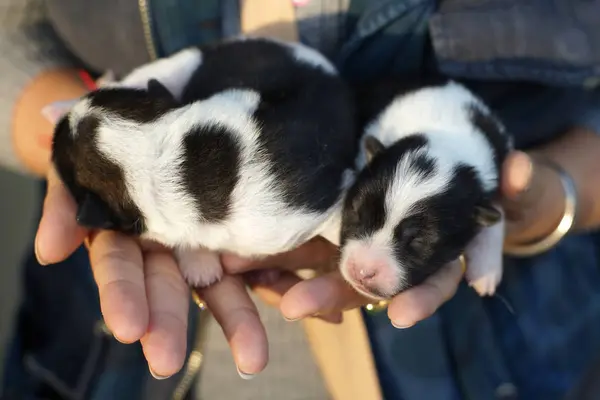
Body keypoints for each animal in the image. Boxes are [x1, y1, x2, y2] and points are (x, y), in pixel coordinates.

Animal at [340, 76, 512, 300]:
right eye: (357, 213)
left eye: (418, 240)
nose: (362, 271)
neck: (447, 142)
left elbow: (495, 215)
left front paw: (486, 270)